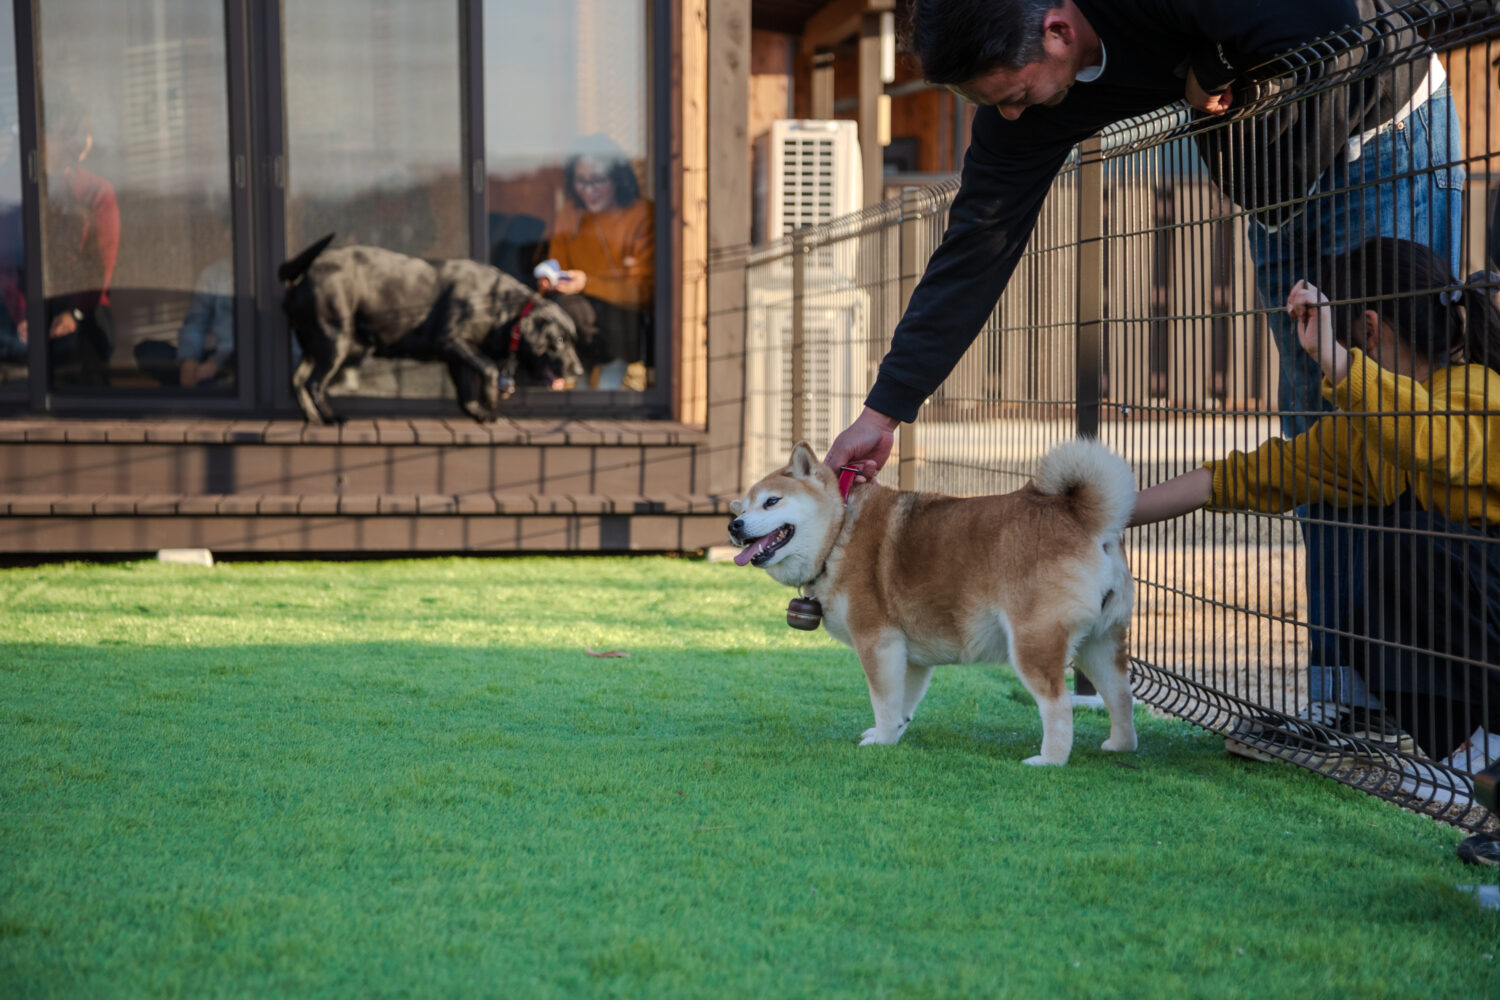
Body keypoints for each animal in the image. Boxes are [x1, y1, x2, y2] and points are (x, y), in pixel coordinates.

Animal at [282, 235, 585, 422]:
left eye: (573, 340)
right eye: (559, 340)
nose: (579, 371)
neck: (499, 304)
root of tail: (302, 276)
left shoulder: (457, 357)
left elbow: (466, 393)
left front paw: (480, 414)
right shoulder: (450, 341)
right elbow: (488, 367)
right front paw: (490, 403)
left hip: (314, 345)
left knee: (297, 380)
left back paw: (312, 417)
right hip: (336, 340)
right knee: (314, 383)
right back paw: (329, 418)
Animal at [726, 440, 1134, 767]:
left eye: (772, 501)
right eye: (741, 508)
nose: (734, 526)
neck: (839, 532)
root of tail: (1083, 519)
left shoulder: (877, 641)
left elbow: (883, 700)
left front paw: (882, 740)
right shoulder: (910, 655)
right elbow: (902, 703)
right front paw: (892, 734)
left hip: (1033, 643)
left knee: (1058, 705)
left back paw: (1049, 760)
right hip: (1099, 642)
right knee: (1120, 694)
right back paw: (1120, 745)